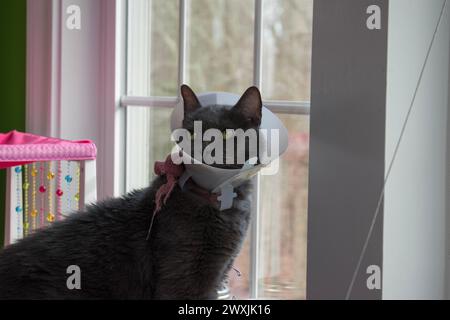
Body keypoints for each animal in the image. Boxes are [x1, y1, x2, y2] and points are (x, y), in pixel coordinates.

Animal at [0, 85, 262, 300]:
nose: (199, 147)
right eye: (191, 133)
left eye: (225, 134)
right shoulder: (184, 278)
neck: (218, 203)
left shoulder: (219, 270)